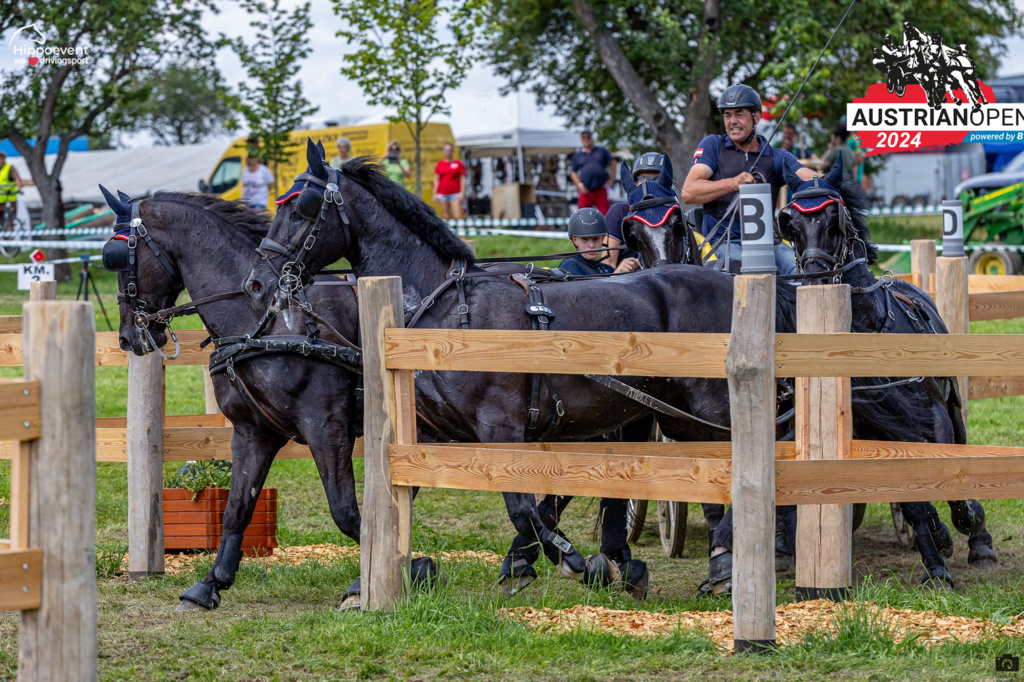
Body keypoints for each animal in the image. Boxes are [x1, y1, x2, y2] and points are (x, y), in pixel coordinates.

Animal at [98, 188, 385, 606]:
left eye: (118, 256)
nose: (125, 337)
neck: (265, 321)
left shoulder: (327, 428)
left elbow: (346, 510)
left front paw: (387, 576)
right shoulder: (254, 431)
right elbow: (236, 508)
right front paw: (211, 582)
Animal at [243, 139, 802, 593]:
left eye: (301, 208)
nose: (257, 281)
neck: (445, 307)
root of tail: (734, 283)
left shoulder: (501, 426)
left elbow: (522, 508)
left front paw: (574, 560)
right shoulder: (433, 432)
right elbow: (398, 500)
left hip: (706, 407)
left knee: (752, 461)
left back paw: (730, 555)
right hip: (672, 414)